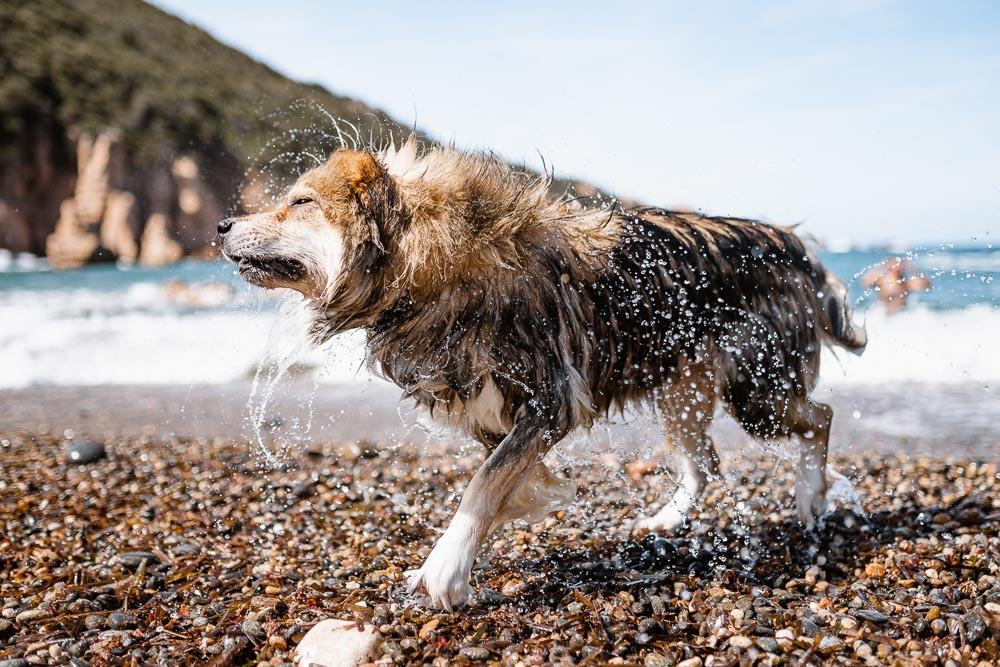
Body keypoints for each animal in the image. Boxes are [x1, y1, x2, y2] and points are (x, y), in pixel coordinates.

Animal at [219, 137, 868, 612]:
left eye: (301, 202)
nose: (223, 225)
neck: (439, 263)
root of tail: (802, 250)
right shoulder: (487, 411)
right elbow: (500, 472)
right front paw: (537, 496)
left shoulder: (550, 400)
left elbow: (483, 483)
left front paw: (446, 569)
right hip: (680, 391)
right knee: (705, 462)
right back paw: (664, 519)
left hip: (755, 388)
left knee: (820, 415)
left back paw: (811, 497)